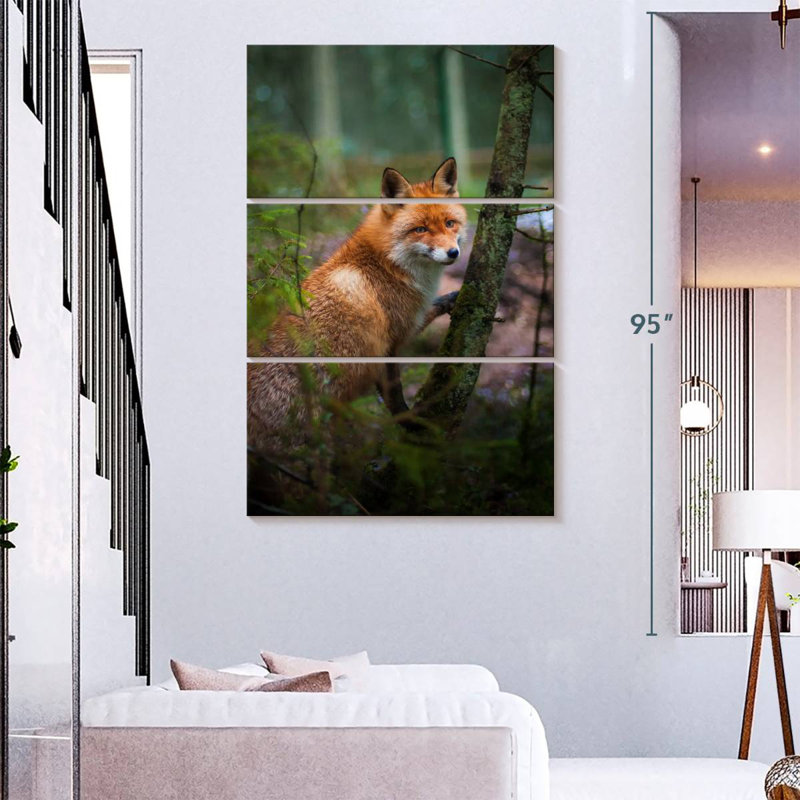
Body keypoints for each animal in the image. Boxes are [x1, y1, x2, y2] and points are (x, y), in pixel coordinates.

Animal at [248, 157, 466, 453]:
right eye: (420, 229)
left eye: (450, 223)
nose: (453, 253)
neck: (385, 263)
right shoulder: (390, 341)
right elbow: (394, 397)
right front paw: (411, 424)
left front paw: (451, 298)